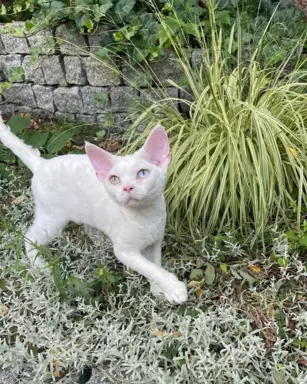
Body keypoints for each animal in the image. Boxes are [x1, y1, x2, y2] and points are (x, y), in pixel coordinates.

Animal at [0, 115, 188, 304]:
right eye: (114, 179)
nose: (127, 188)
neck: (146, 217)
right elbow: (149, 268)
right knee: (30, 237)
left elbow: (155, 263)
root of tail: (41, 164)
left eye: (143, 173)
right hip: (52, 219)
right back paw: (39, 265)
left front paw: (159, 289)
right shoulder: (125, 251)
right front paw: (174, 288)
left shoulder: (155, 240)